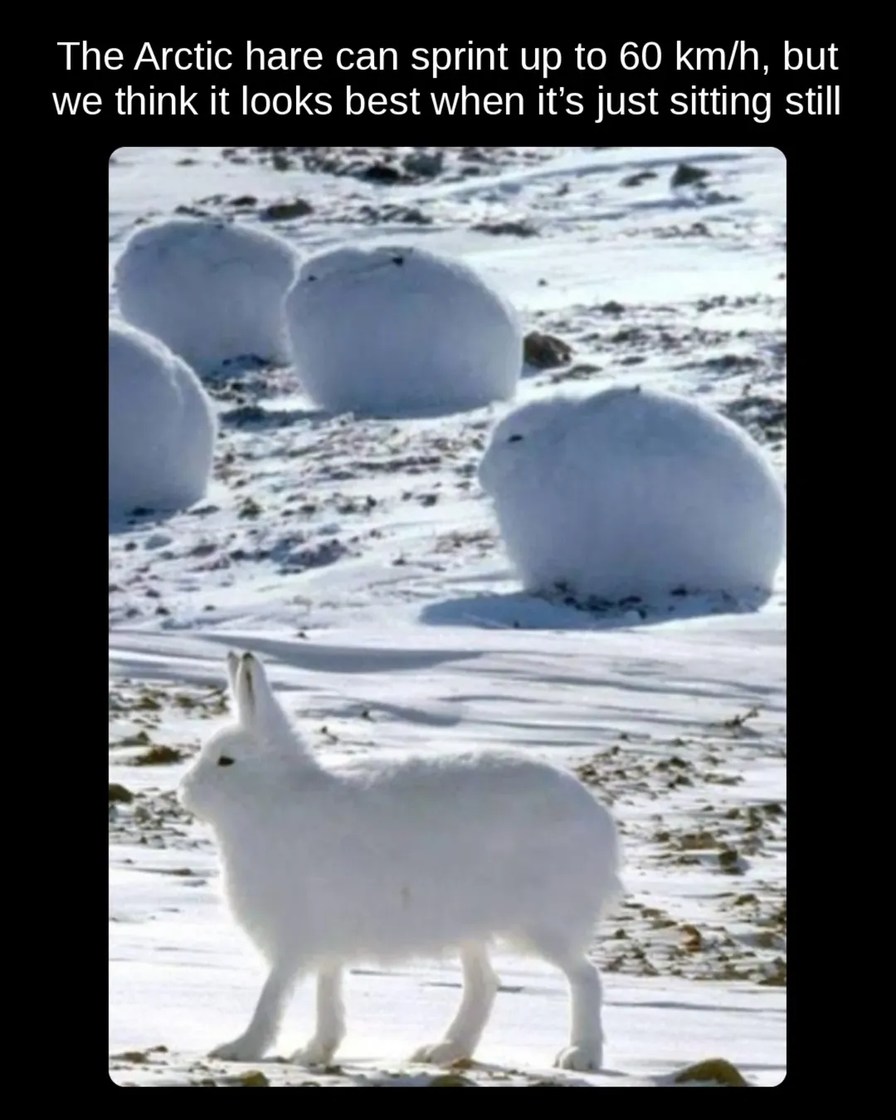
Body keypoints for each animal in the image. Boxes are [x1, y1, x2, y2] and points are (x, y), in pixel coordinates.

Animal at [177, 650, 622, 1072]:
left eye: (226, 760)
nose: (185, 790)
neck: (273, 797)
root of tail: (600, 822)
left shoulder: (294, 937)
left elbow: (273, 994)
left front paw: (239, 1049)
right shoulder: (325, 944)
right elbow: (327, 993)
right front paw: (315, 1051)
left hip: (540, 923)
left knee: (585, 977)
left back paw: (581, 1055)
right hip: (471, 929)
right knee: (484, 984)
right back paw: (442, 1050)